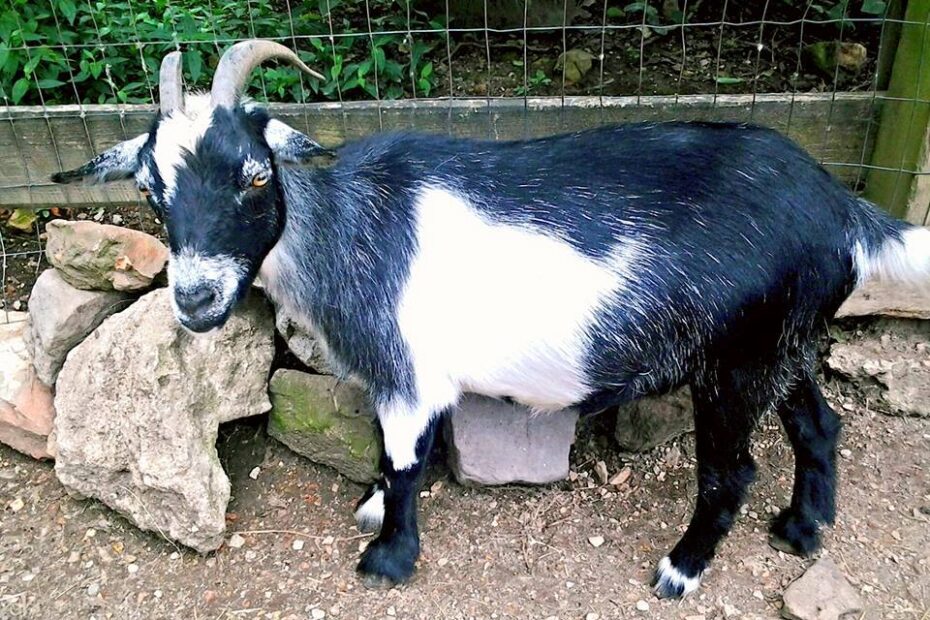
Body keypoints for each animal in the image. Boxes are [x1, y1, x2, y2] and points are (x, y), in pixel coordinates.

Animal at [52, 40, 930, 598]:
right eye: (149, 188)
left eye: (255, 173)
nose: (196, 300)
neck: (351, 229)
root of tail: (842, 208)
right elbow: (397, 460)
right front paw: (373, 510)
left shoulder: (409, 378)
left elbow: (405, 463)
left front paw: (387, 557)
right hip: (785, 343)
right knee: (818, 424)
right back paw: (804, 527)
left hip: (736, 363)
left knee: (733, 472)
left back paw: (681, 570)